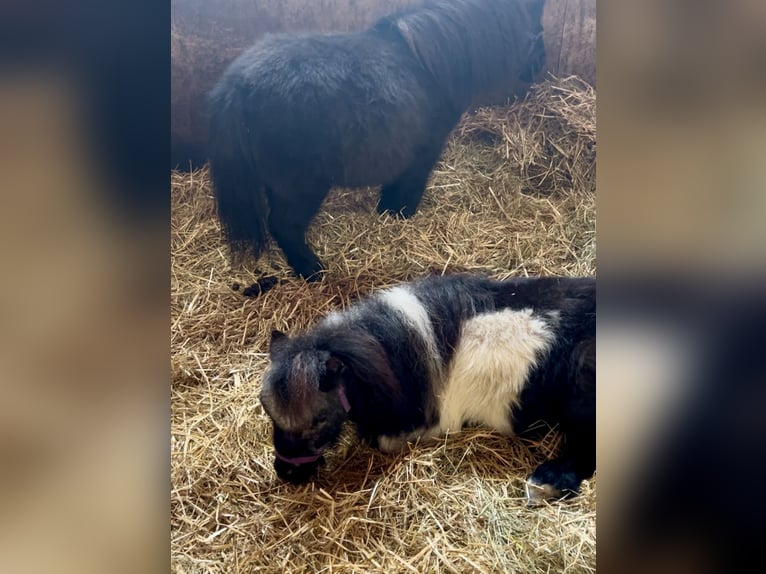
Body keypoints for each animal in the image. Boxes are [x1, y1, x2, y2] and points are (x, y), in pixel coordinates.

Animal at [207, 0, 548, 280]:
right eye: (537, 31)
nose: (539, 67)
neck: (430, 64)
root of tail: (237, 85)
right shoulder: (424, 152)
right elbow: (408, 187)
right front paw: (399, 213)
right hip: (301, 188)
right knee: (284, 225)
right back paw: (311, 270)